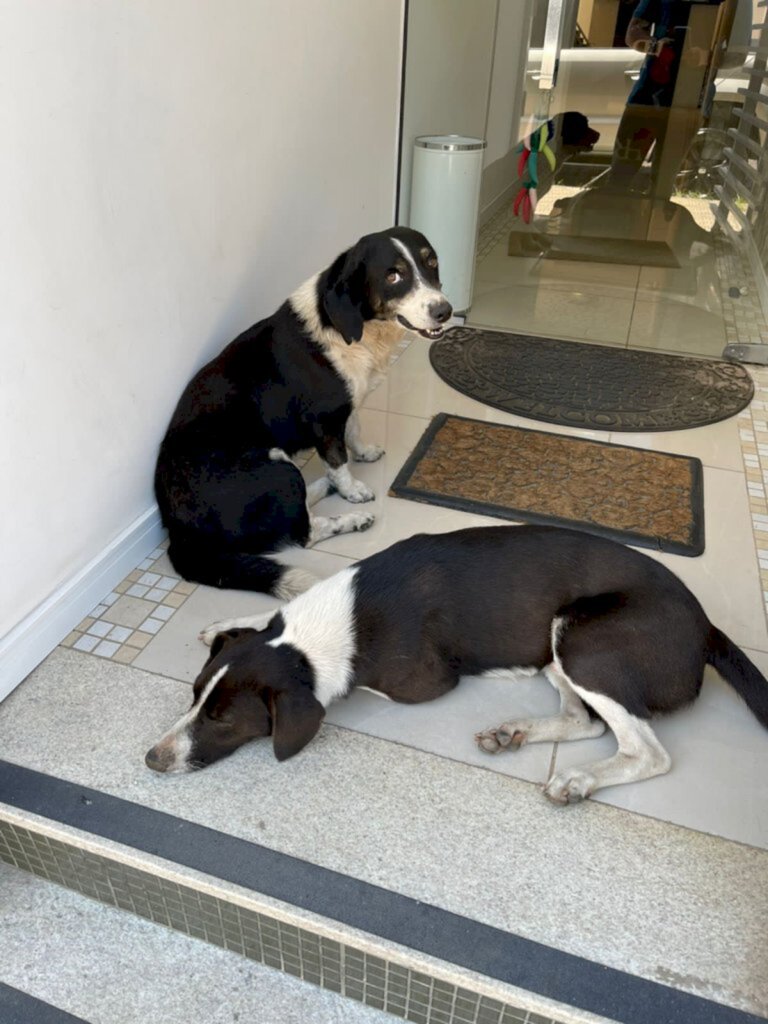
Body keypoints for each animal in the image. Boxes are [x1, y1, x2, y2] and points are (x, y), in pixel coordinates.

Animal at [144, 524, 768, 802]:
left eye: (224, 719)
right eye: (193, 694)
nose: (152, 759)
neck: (324, 630)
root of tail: (708, 627)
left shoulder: (420, 681)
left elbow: (354, 684)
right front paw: (229, 623)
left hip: (582, 639)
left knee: (649, 751)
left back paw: (579, 778)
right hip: (557, 645)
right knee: (585, 720)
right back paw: (516, 731)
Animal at [153, 226, 450, 598]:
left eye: (432, 262)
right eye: (393, 275)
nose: (445, 311)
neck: (359, 330)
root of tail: (177, 533)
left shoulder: (346, 406)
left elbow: (354, 430)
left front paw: (364, 454)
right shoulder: (325, 422)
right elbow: (338, 461)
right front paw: (353, 491)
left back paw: (322, 487)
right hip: (277, 468)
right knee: (301, 533)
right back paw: (351, 518)